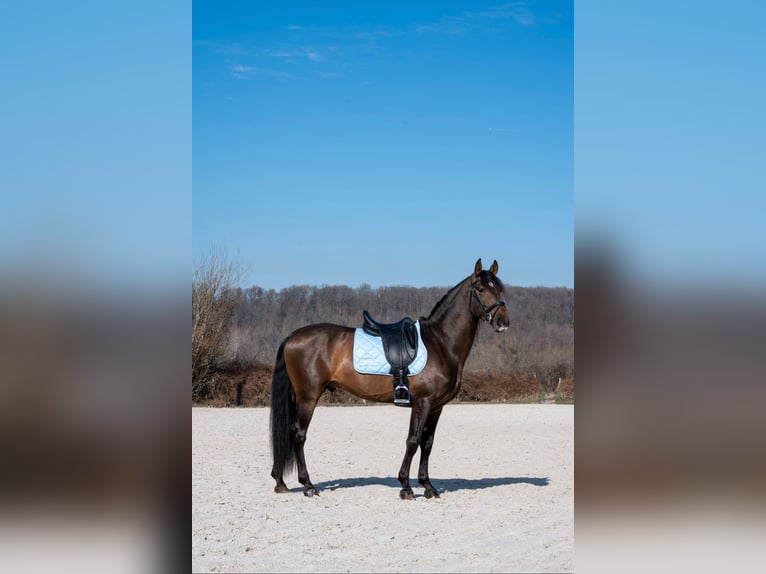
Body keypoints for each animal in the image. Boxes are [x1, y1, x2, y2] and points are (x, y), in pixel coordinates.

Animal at [269, 258, 510, 499]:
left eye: (499, 289)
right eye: (480, 289)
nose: (503, 322)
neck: (440, 343)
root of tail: (292, 336)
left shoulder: (436, 406)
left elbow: (427, 443)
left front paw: (428, 486)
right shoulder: (422, 403)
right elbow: (413, 441)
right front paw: (406, 487)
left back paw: (281, 482)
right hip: (308, 397)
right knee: (298, 435)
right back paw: (308, 485)